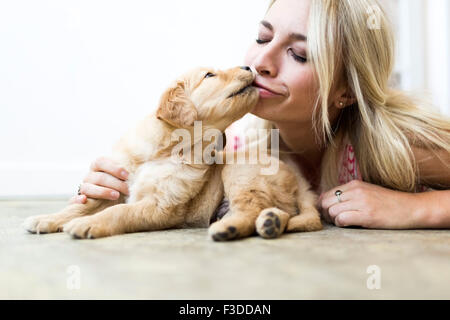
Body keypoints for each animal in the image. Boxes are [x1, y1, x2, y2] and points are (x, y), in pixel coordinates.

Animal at [22, 66, 322, 239]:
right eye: (210, 75)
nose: (249, 65)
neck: (166, 149)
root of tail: (298, 180)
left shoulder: (162, 205)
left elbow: (118, 212)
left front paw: (89, 224)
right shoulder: (116, 185)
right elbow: (82, 206)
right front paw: (48, 219)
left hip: (240, 170)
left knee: (250, 208)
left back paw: (230, 228)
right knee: (279, 211)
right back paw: (270, 222)